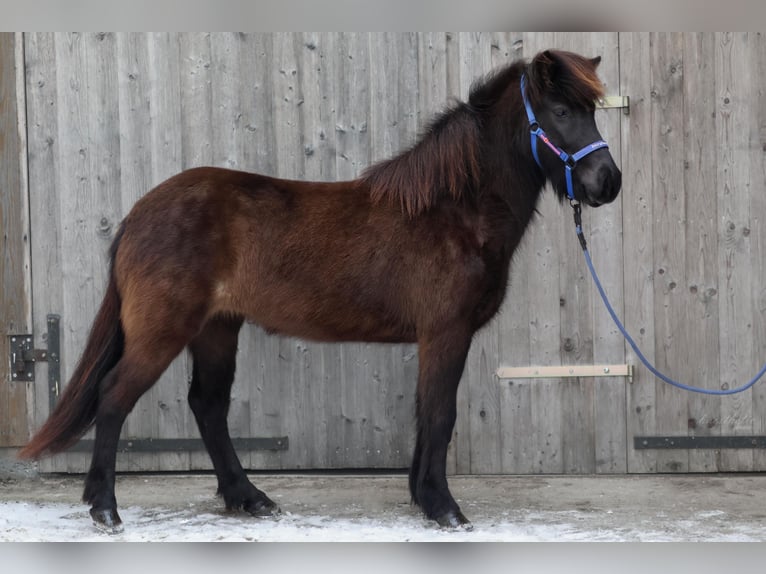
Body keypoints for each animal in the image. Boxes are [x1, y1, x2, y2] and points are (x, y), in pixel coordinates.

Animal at [19, 49, 624, 536]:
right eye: (561, 112)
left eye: (594, 111)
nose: (608, 181)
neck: (454, 210)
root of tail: (139, 213)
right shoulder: (445, 333)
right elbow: (440, 415)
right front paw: (444, 508)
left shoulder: (437, 338)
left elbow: (426, 413)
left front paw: (421, 498)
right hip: (163, 331)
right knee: (114, 398)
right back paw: (105, 509)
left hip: (216, 329)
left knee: (207, 406)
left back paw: (249, 498)